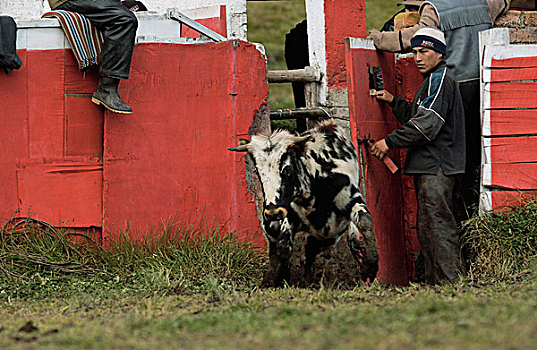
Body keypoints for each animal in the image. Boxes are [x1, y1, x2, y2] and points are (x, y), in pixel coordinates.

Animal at [229, 119, 376, 286]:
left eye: (287, 169)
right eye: (257, 172)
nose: (273, 212)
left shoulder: (347, 203)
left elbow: (365, 221)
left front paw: (370, 268)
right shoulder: (288, 215)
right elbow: (283, 247)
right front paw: (280, 277)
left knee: (307, 251)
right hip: (272, 226)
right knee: (277, 248)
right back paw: (271, 279)